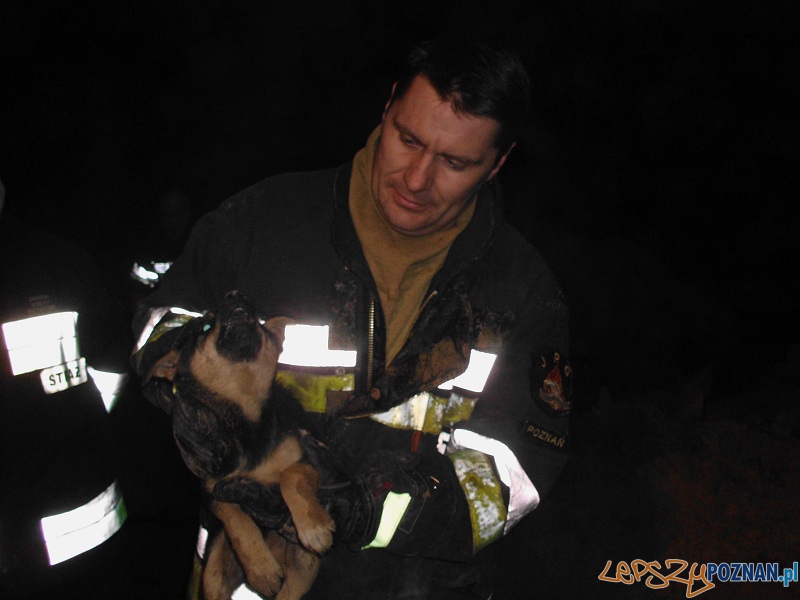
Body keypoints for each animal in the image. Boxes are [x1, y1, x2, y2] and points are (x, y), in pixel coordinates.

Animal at [149, 288, 334, 596]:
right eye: (205, 327)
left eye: (259, 325)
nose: (234, 294)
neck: (245, 413)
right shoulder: (213, 486)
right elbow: (234, 517)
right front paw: (261, 568)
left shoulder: (311, 457)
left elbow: (291, 477)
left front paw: (314, 527)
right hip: (212, 574)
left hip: (303, 571)